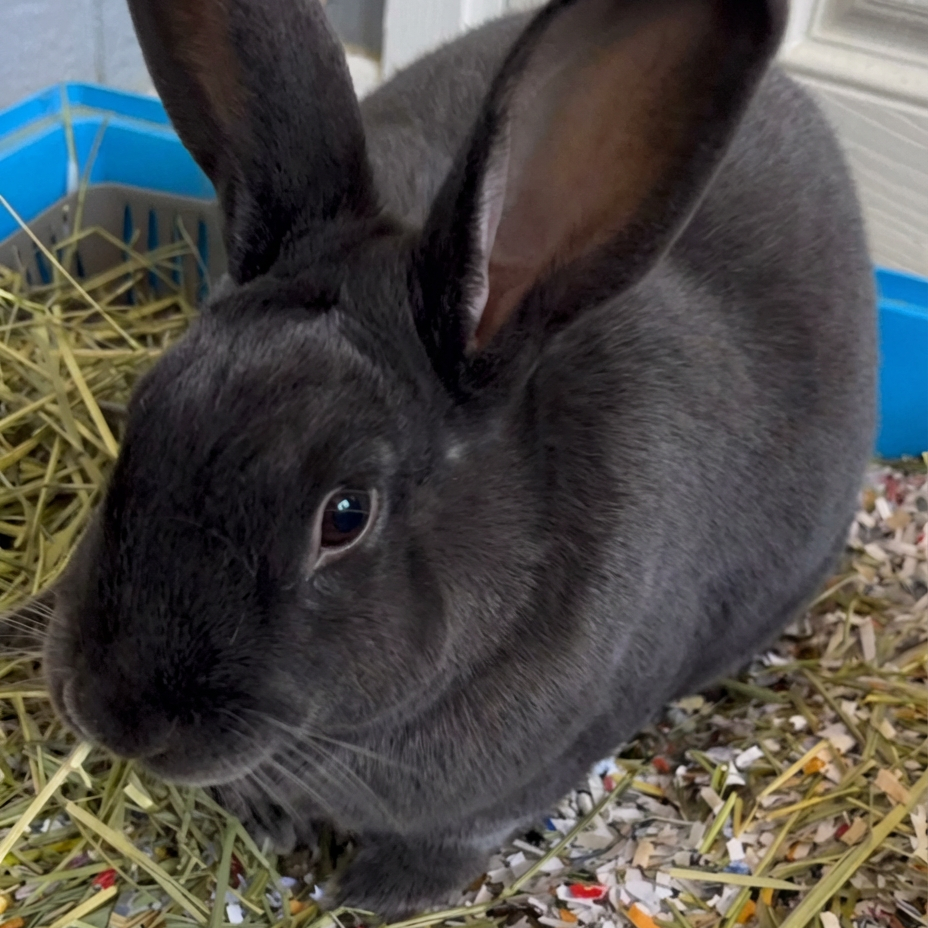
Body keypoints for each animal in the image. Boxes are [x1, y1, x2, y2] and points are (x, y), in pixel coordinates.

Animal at [30, 0, 877, 917]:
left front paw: (372, 895)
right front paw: (266, 819)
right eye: (144, 409)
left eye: (346, 515)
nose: (114, 714)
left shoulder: (529, 773)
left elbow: (455, 838)